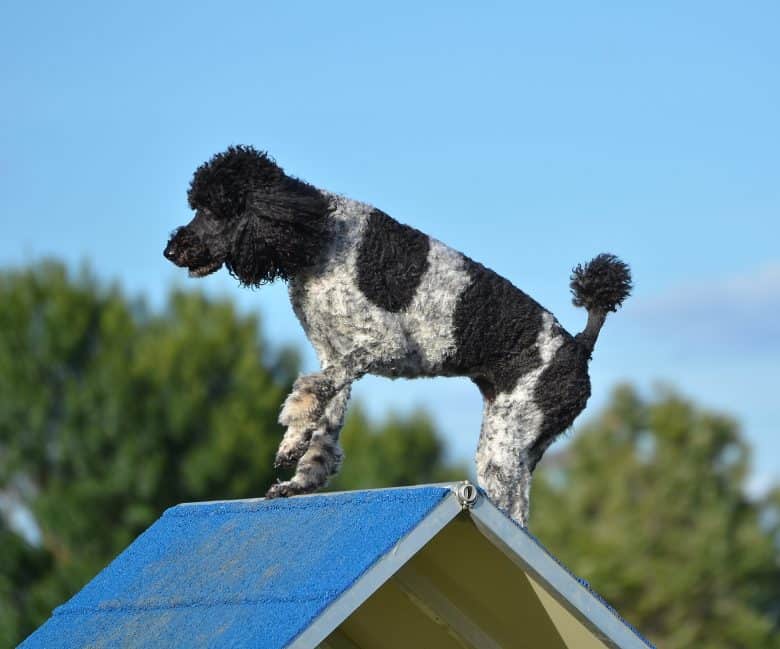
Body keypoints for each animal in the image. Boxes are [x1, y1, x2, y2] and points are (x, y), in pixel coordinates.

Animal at [161, 144, 632, 524]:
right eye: (196, 205)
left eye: (214, 210)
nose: (171, 249)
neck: (314, 234)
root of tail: (578, 346)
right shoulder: (332, 353)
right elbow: (327, 418)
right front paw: (299, 468)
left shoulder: (383, 344)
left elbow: (314, 387)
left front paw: (293, 420)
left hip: (507, 445)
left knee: (515, 516)